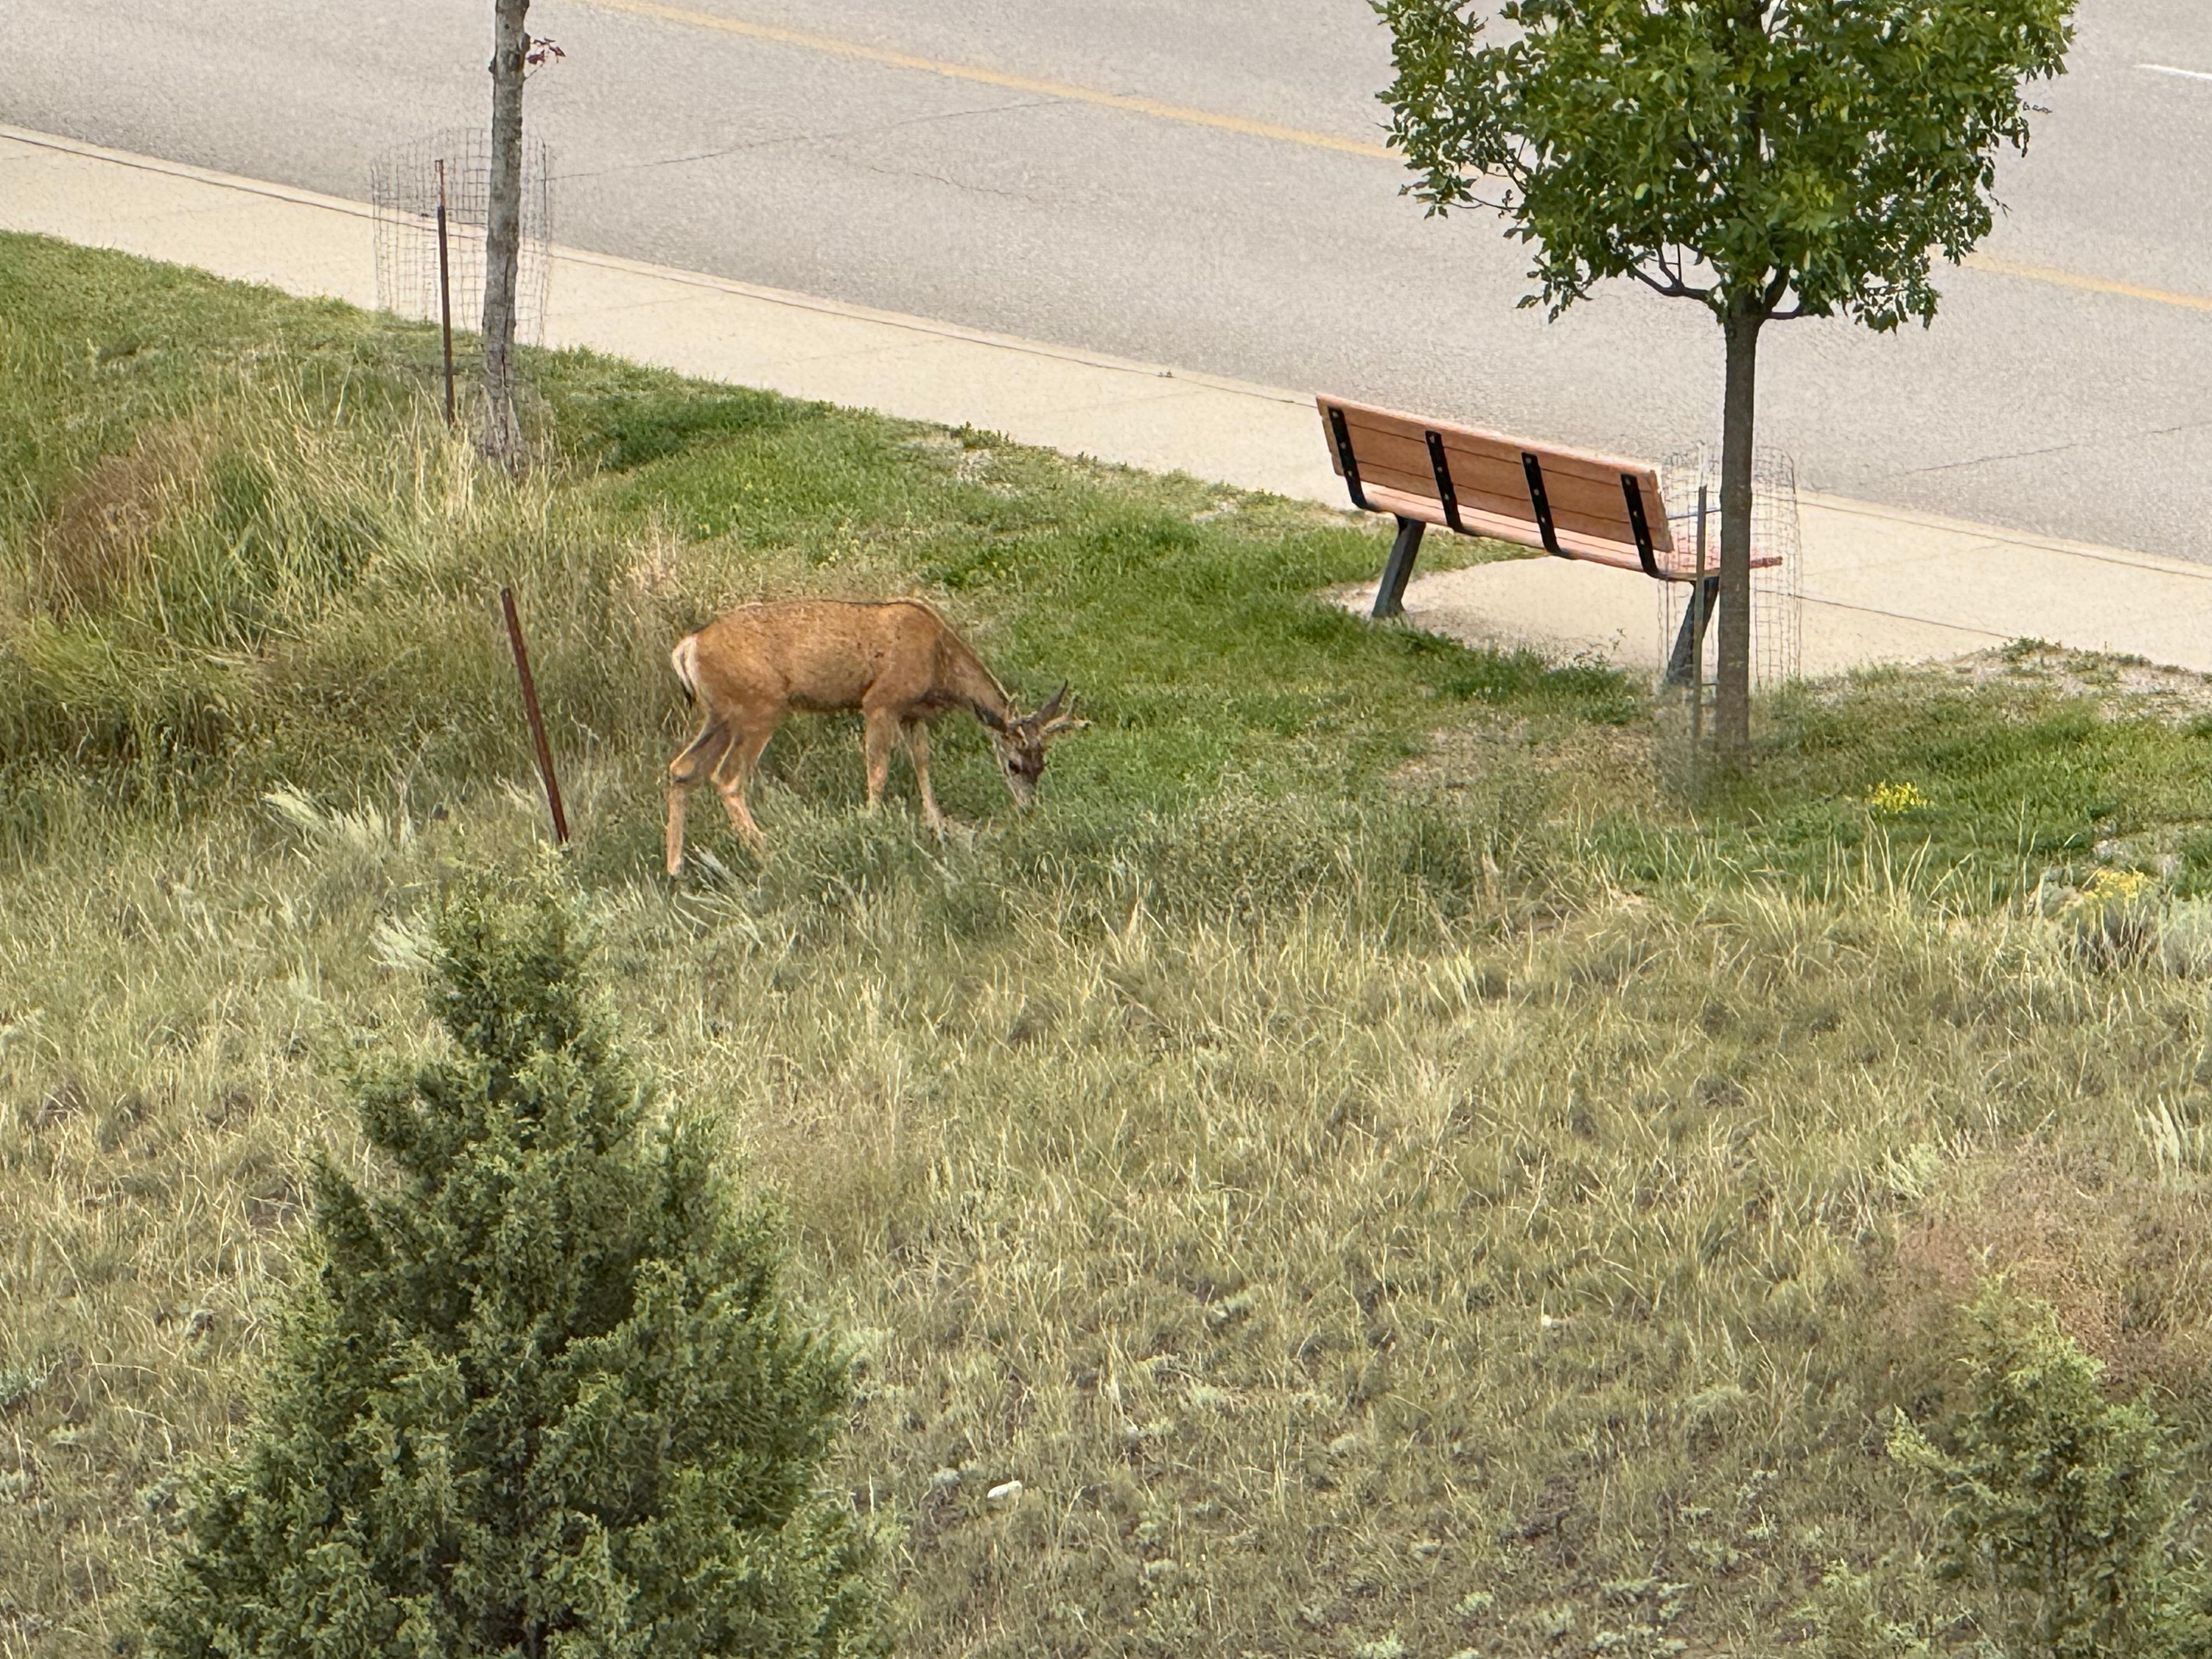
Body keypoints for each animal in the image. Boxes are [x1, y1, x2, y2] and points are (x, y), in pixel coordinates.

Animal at [663, 599, 1086, 874]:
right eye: (1013, 764)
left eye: (1042, 765)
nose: (1027, 808)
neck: (938, 660)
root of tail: (688, 648)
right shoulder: (880, 701)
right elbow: (878, 769)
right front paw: (870, 825)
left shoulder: (912, 713)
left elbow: (922, 762)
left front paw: (936, 825)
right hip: (759, 707)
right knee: (727, 778)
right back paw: (769, 851)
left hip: (720, 715)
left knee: (683, 768)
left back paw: (675, 867)